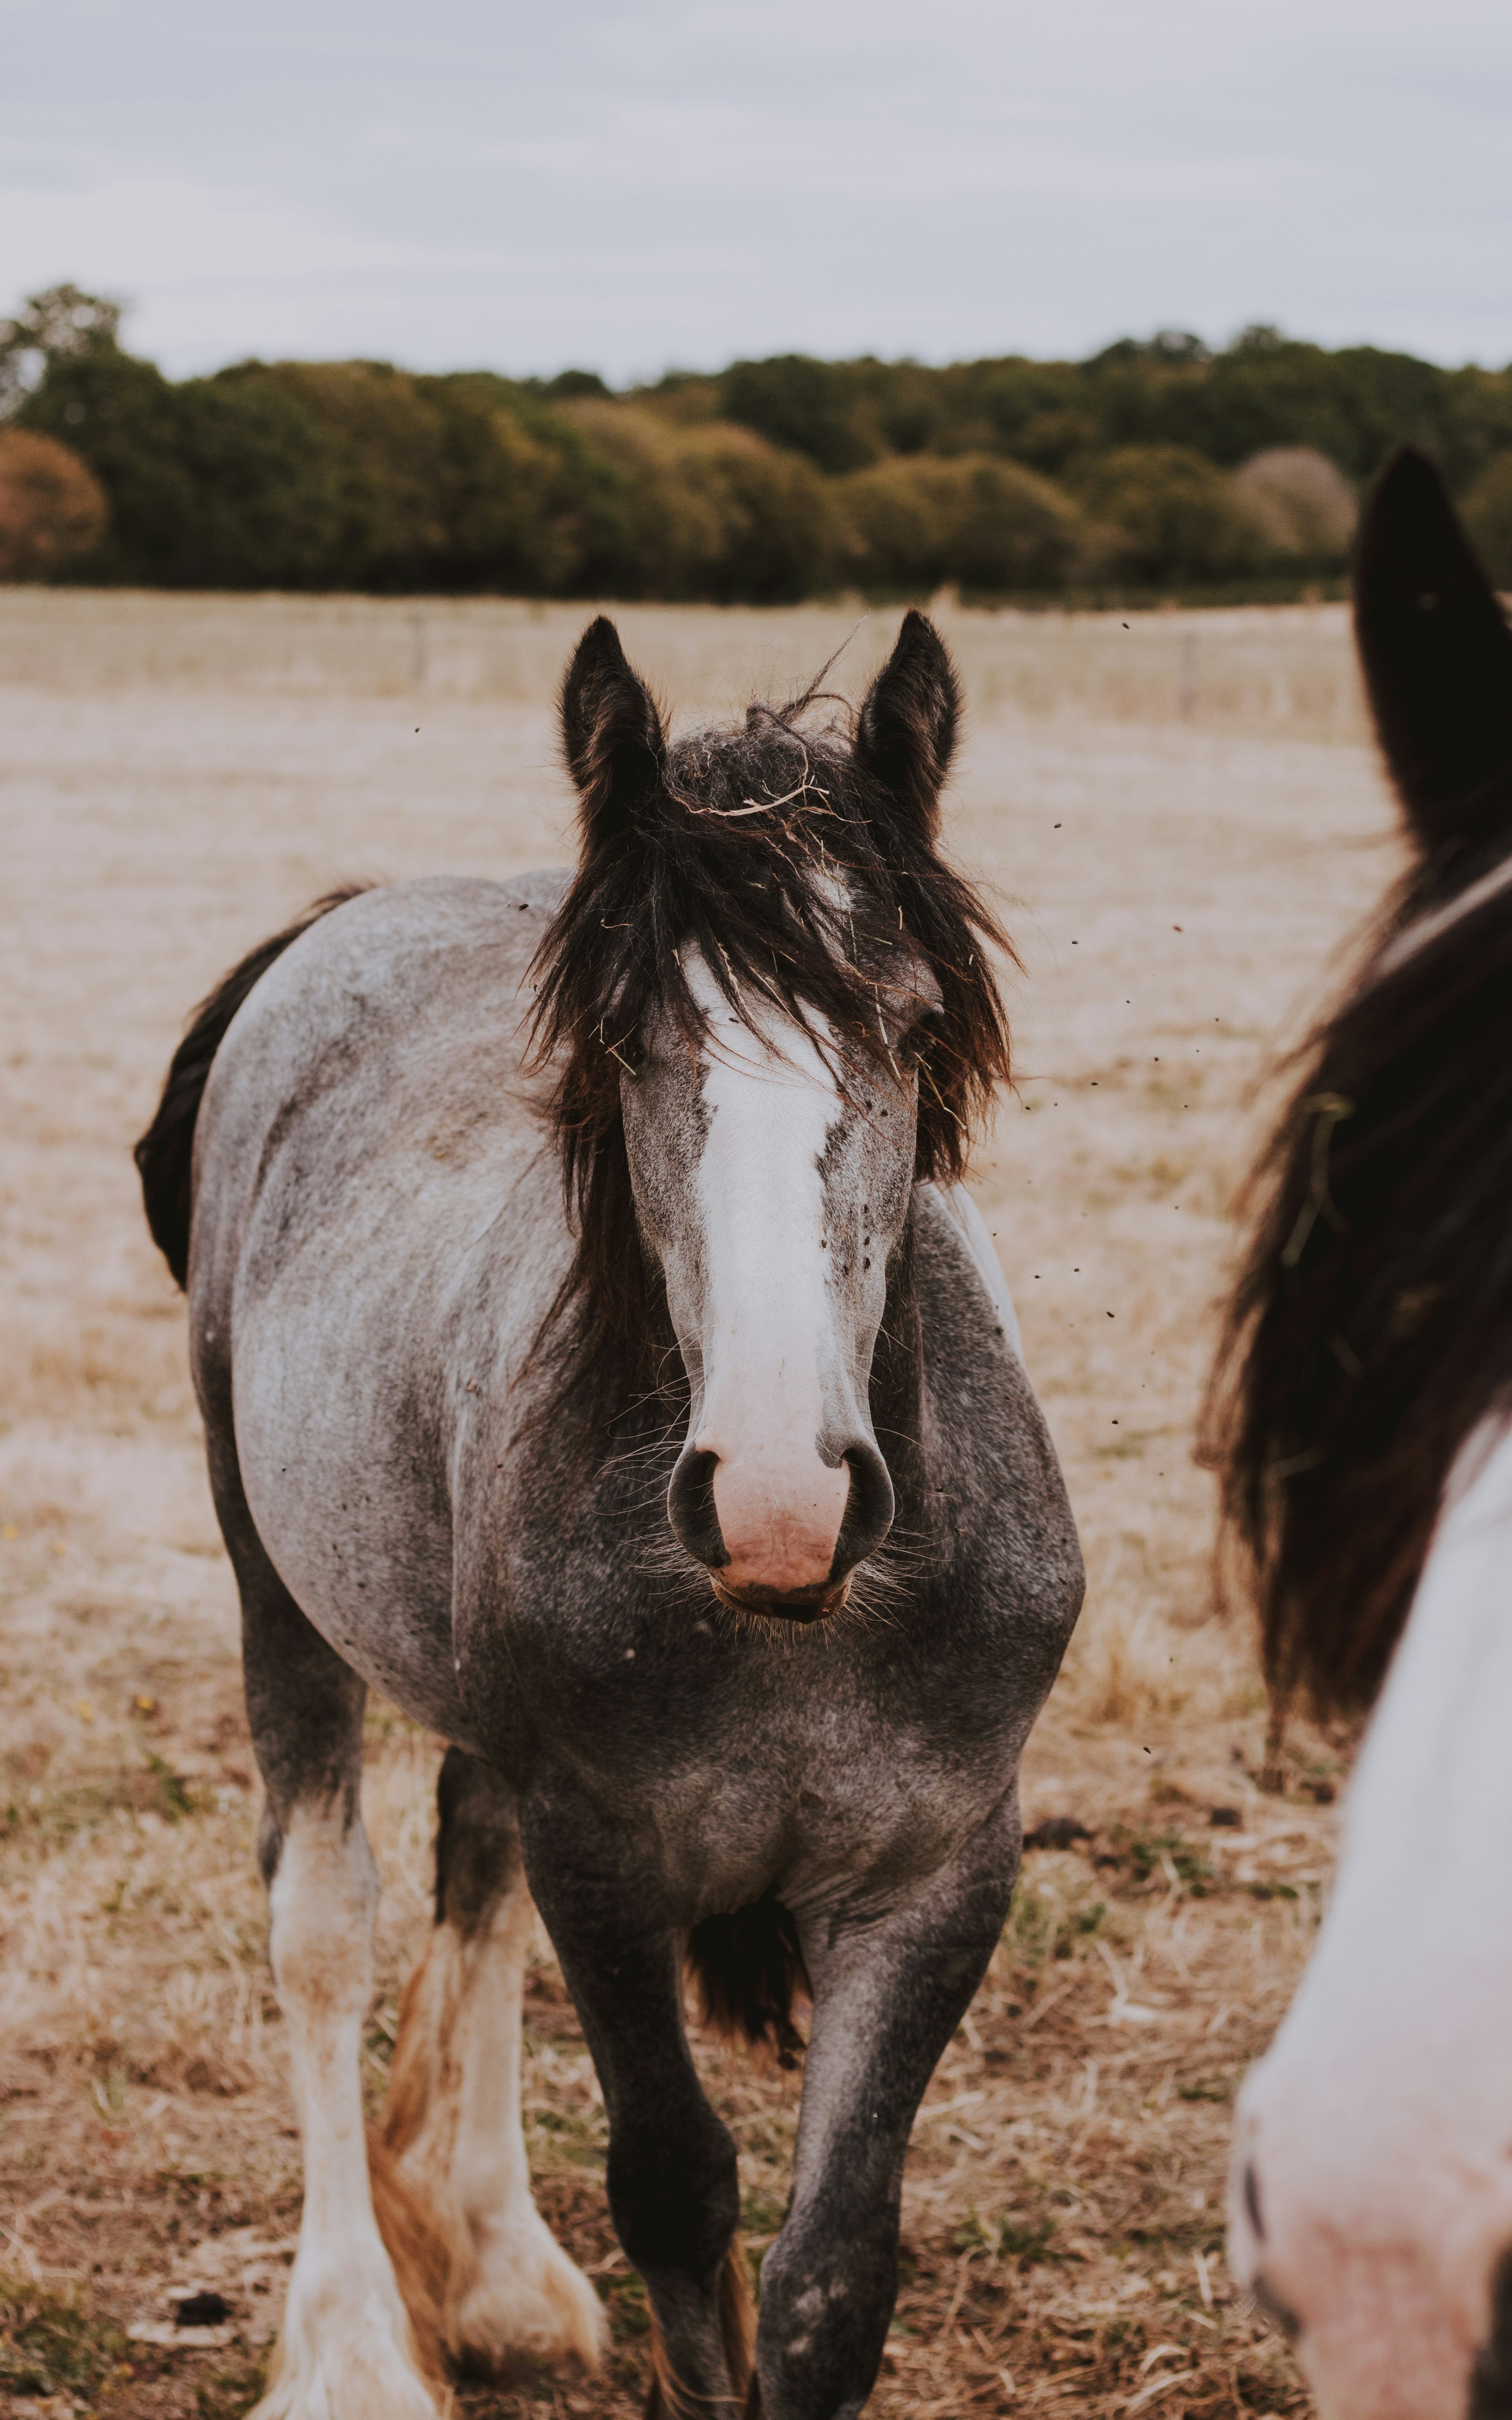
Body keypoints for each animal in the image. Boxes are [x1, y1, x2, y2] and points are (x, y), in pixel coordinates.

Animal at [138, 614, 1084, 2410]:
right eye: (627, 1044)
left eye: (914, 1027)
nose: (781, 1497)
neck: (800, 1634)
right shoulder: (607, 1859)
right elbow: (673, 2189)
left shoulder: (937, 1877)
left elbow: (825, 2272)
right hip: (269, 1581)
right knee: (324, 1926)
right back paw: (355, 2337)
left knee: (470, 1857)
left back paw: (491, 2262)